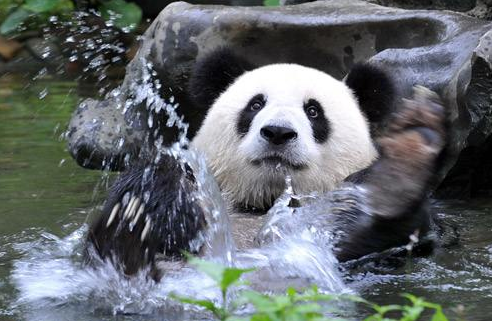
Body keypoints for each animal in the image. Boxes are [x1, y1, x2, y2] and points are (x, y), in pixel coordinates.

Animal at [84, 48, 446, 280]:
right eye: (256, 104)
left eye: (313, 111)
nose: (278, 133)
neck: (262, 202)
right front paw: (151, 204)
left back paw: (401, 168)